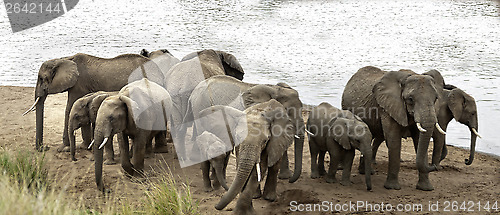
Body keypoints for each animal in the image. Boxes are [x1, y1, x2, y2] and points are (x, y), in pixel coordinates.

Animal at [23, 53, 162, 152]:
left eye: (42, 79)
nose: (44, 148)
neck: (65, 59)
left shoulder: (79, 84)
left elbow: (69, 108)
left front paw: (63, 149)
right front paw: (83, 147)